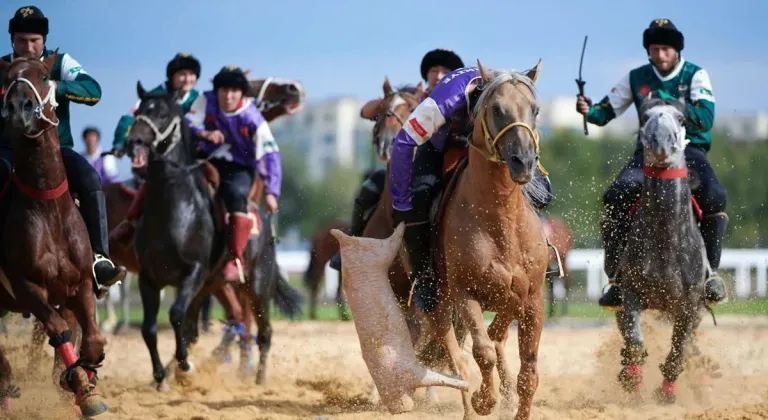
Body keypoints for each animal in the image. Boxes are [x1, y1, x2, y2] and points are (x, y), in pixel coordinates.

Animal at [612, 98, 708, 404]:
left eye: (681, 118)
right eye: (645, 117)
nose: (662, 143)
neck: (666, 242)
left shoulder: (689, 306)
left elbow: (678, 351)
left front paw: (665, 394)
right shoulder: (629, 293)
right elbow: (634, 341)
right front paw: (631, 380)